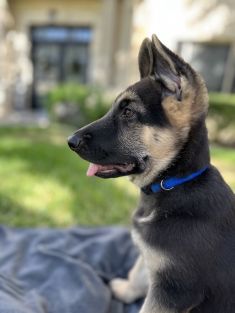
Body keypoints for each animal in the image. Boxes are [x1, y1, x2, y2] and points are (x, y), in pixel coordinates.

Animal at [67, 35, 235, 310]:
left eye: (128, 113)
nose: (70, 141)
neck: (174, 181)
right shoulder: (155, 262)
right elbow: (138, 270)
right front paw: (126, 290)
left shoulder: (175, 289)